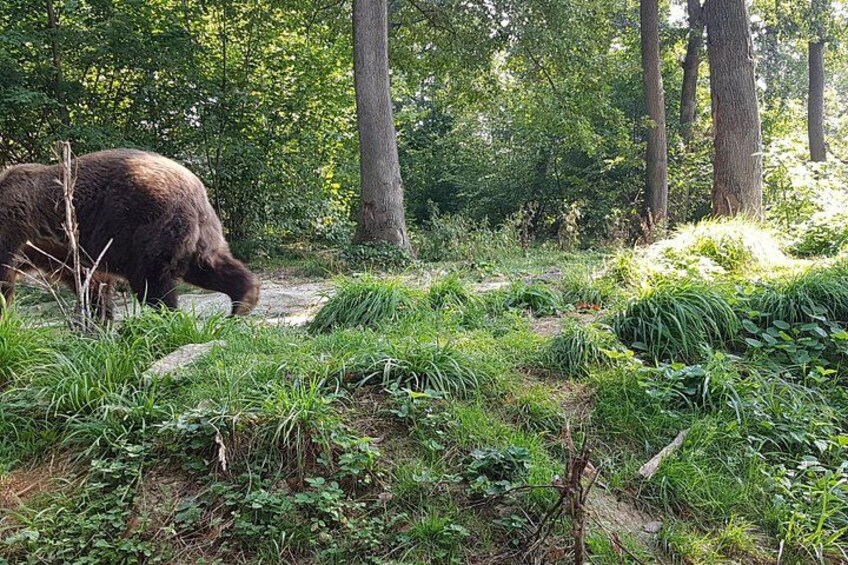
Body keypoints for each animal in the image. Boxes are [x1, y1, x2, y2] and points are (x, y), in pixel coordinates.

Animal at [0, 148, 260, 320]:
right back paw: (244, 299)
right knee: (207, 265)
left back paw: (163, 317)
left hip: (148, 223)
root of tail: (193, 186)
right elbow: (92, 284)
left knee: (152, 280)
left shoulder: (15, 229)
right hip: (198, 231)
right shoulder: (69, 255)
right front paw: (98, 320)